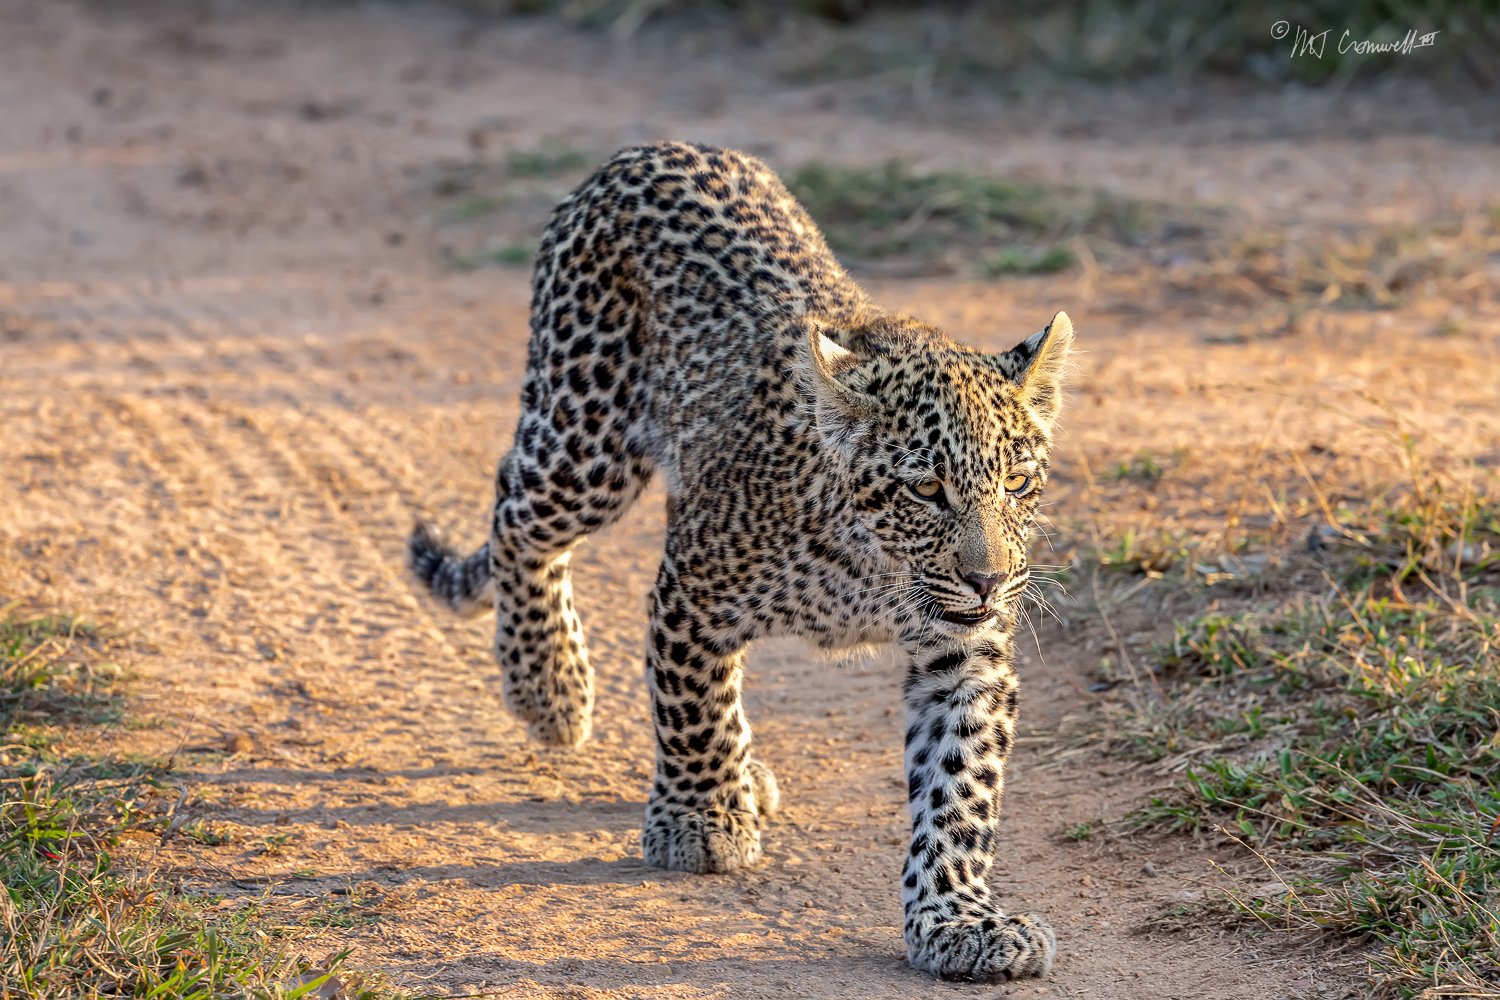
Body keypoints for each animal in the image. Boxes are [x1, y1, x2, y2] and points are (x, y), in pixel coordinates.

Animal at [408, 141, 1073, 982]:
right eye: (926, 488)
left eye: (1017, 483)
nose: (987, 580)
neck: (875, 568)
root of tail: (652, 148)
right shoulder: (693, 592)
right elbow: (694, 707)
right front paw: (699, 819)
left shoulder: (964, 652)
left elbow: (959, 791)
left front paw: (958, 920)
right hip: (583, 440)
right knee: (513, 516)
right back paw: (549, 687)